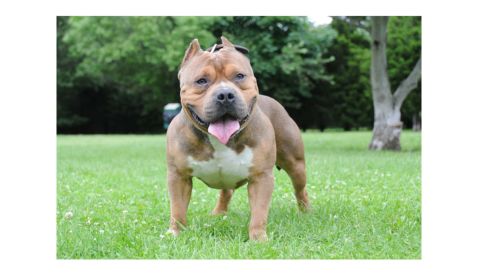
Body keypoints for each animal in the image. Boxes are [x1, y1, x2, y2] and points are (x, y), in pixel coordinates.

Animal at [166, 35, 312, 241]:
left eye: (239, 76)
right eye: (201, 81)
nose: (225, 94)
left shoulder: (261, 177)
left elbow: (259, 212)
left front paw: (258, 238)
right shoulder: (179, 176)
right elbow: (178, 209)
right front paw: (175, 233)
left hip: (296, 164)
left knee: (300, 189)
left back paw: (306, 212)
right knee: (226, 191)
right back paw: (219, 213)